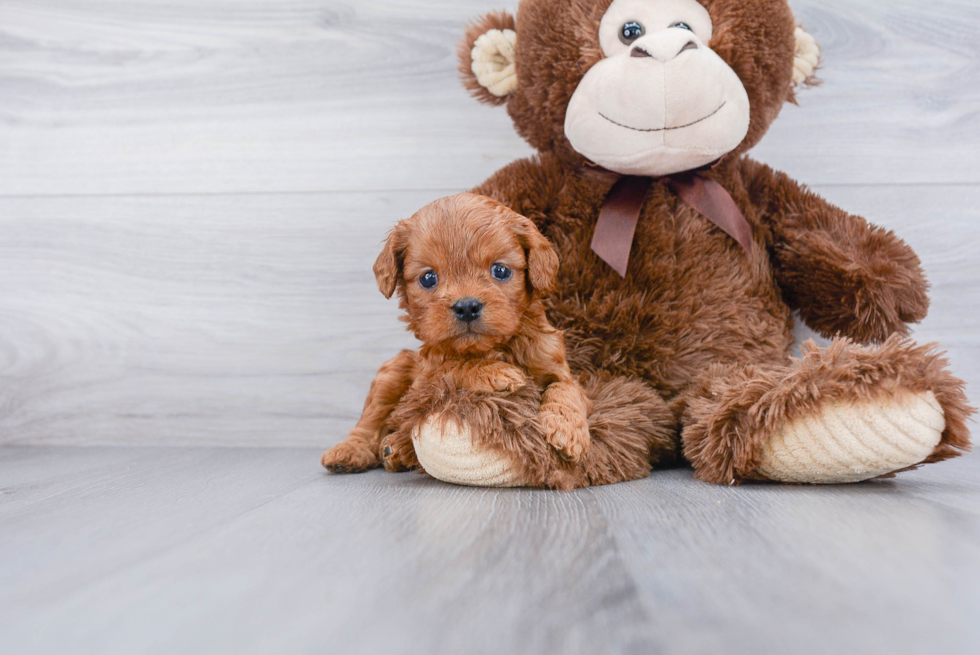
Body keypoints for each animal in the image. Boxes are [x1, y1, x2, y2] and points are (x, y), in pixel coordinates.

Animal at [326, 192, 592, 480]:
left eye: (500, 270)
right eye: (428, 278)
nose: (466, 307)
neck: (492, 348)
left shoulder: (556, 365)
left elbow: (565, 389)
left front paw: (567, 431)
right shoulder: (428, 376)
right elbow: (455, 366)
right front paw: (495, 373)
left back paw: (396, 449)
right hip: (394, 370)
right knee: (370, 421)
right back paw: (352, 451)